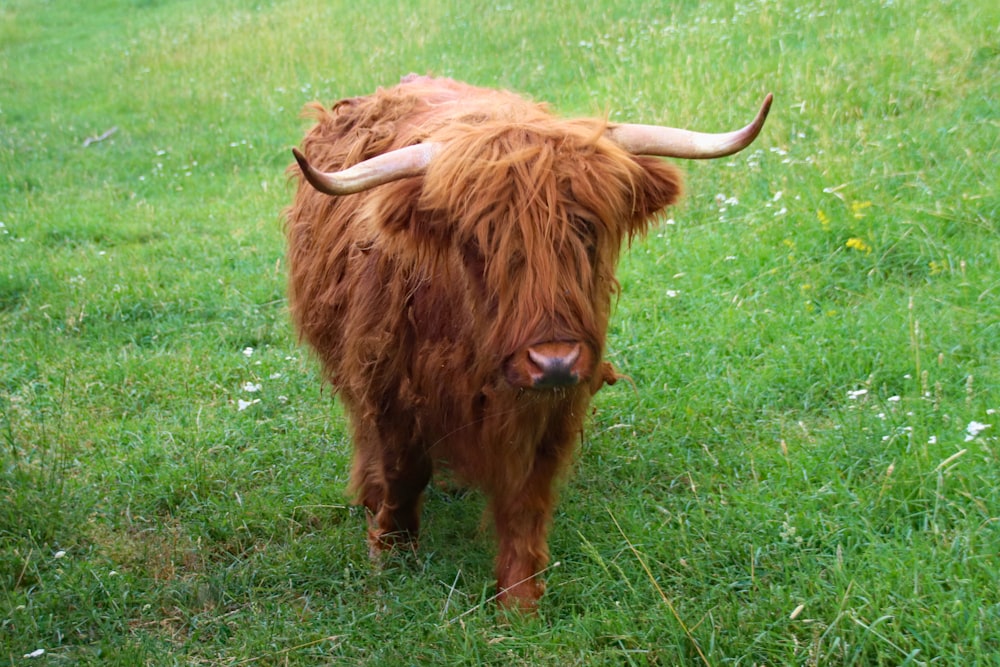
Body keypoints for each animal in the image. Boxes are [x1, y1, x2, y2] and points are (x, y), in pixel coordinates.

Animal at [286, 74, 768, 612]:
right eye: (479, 243)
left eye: (587, 232)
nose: (553, 362)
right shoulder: (387, 382)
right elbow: (402, 467)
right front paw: (390, 549)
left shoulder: (555, 405)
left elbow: (526, 497)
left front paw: (520, 598)